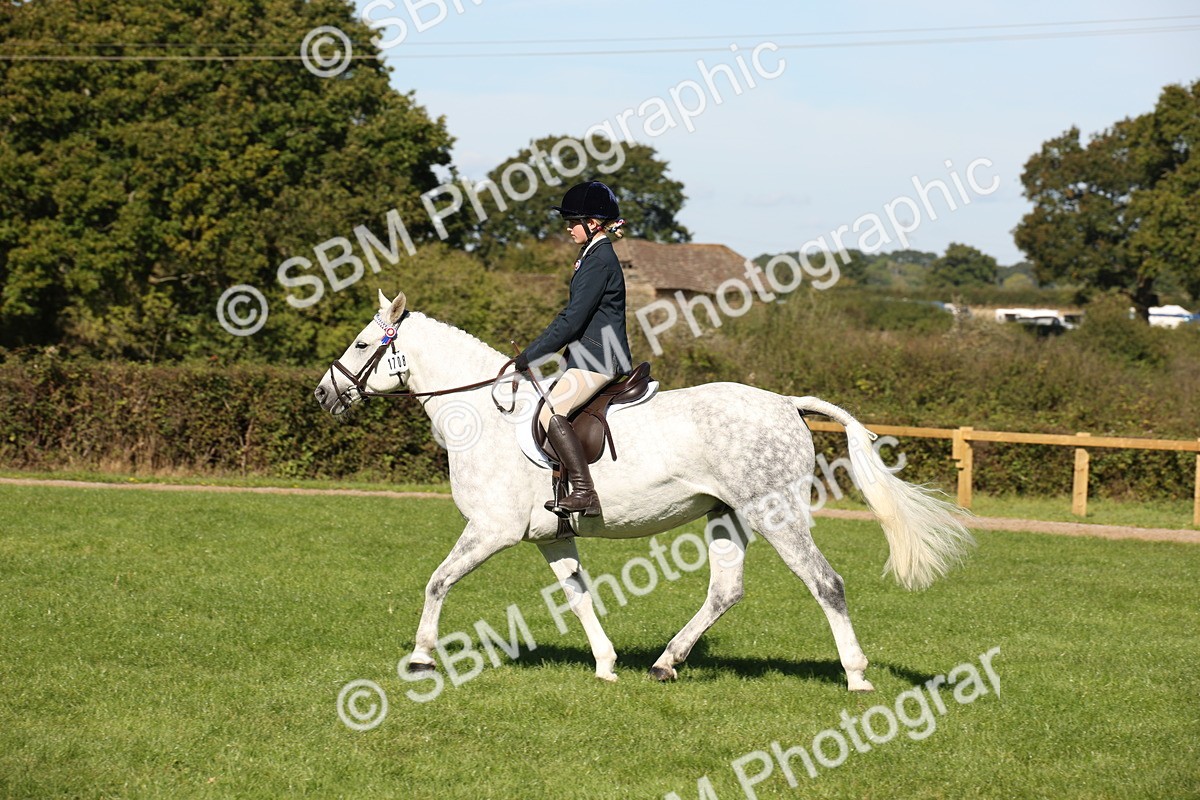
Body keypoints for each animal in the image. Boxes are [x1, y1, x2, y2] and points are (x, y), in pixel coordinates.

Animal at [313, 290, 974, 691]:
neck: (482, 417)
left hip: (776, 514)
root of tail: (786, 403)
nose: (323, 394)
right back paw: (665, 664)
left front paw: (422, 656)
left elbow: (438, 580)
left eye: (362, 344)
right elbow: (579, 597)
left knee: (825, 584)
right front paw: (606, 666)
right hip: (727, 516)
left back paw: (856, 676)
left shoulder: (491, 530)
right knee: (726, 591)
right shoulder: (550, 536)